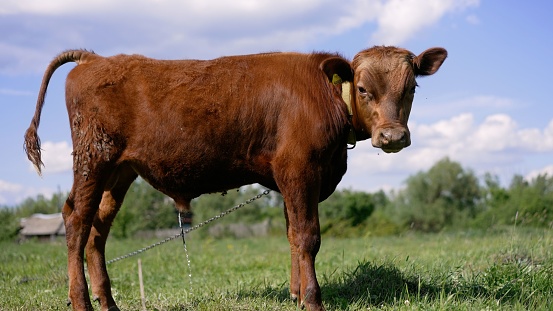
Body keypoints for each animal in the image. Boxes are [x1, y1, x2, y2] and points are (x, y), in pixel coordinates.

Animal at [25, 46, 446, 311]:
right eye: (362, 88)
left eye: (410, 88)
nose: (392, 137)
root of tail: (94, 58)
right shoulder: (299, 170)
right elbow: (308, 237)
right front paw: (313, 300)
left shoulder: (291, 180)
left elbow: (292, 236)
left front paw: (295, 295)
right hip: (93, 161)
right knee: (77, 221)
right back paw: (82, 302)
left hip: (119, 172)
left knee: (98, 230)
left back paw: (109, 302)